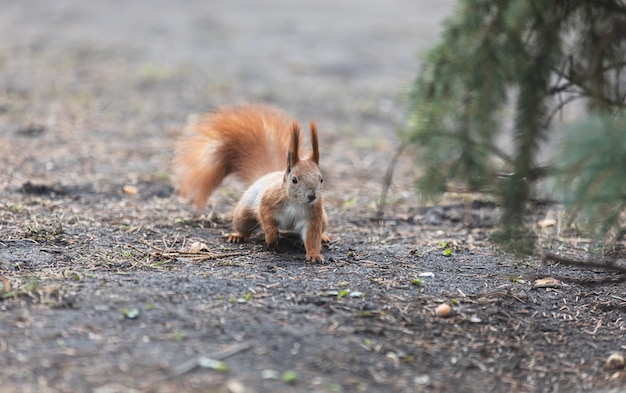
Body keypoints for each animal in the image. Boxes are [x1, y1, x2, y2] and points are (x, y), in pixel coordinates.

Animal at [171, 102, 326, 262]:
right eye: (294, 179)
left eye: (321, 179)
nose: (312, 196)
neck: (296, 202)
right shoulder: (268, 202)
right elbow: (267, 220)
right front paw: (271, 240)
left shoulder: (314, 216)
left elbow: (312, 237)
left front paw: (314, 255)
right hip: (243, 215)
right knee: (243, 226)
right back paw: (237, 236)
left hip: (324, 219)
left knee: (322, 228)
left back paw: (324, 236)